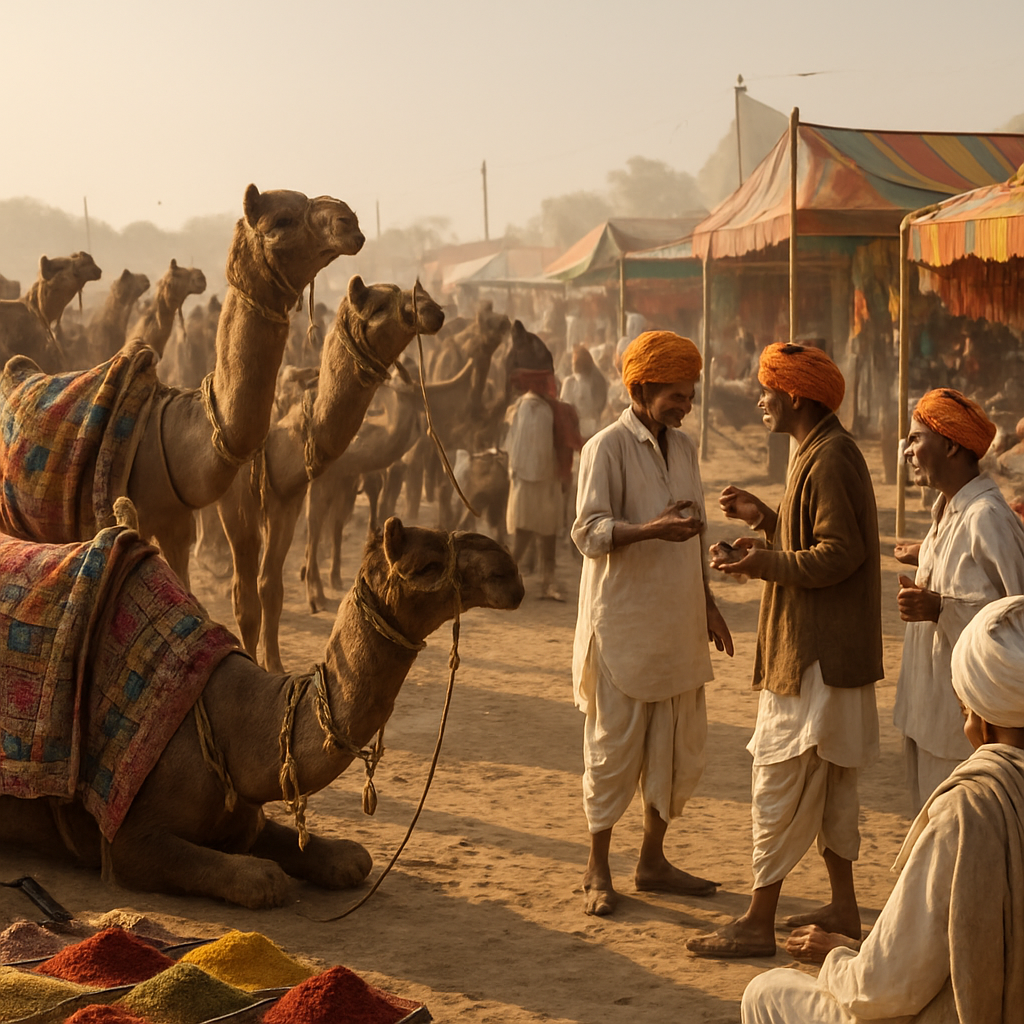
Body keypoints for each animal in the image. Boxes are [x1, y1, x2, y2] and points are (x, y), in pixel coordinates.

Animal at [0, 517, 524, 908]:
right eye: (425, 565)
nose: (510, 572)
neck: (226, 723)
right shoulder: (126, 839)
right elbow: (260, 880)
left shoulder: (244, 816)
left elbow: (352, 859)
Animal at [217, 278, 446, 673]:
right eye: (380, 305)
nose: (434, 309)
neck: (281, 435)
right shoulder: (241, 504)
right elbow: (245, 597)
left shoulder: (288, 500)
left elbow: (270, 587)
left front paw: (275, 664)